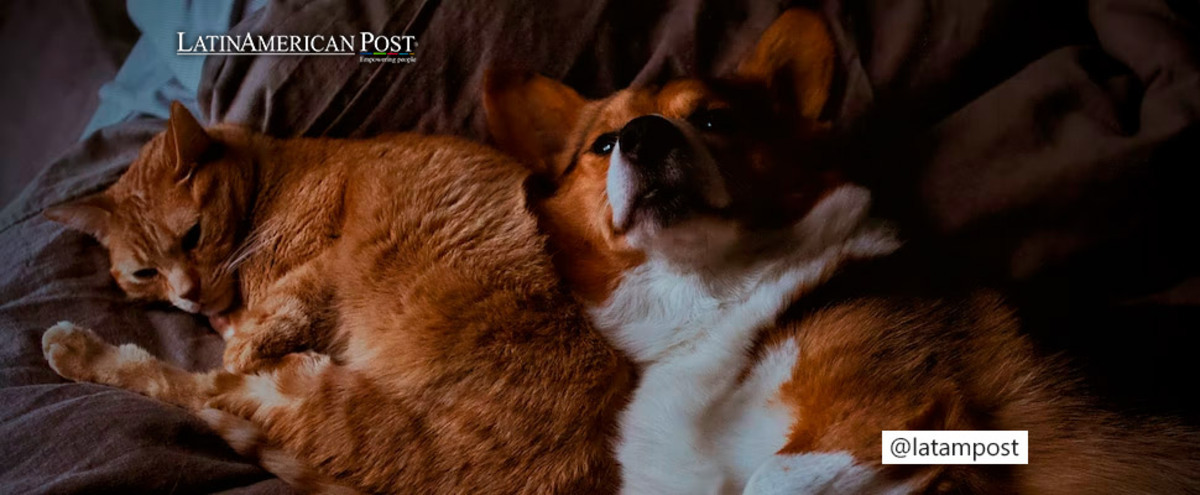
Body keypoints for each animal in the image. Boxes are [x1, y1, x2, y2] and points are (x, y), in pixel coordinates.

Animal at [42, 102, 633, 492]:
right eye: (145, 272)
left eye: (192, 236)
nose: (186, 295)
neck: (270, 178)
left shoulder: (327, 258)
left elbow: (264, 326)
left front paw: (238, 330)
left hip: (317, 398)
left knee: (188, 385)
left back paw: (76, 348)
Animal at [484, 7, 1200, 495]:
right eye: (603, 145)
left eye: (715, 119)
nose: (643, 137)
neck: (710, 305)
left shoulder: (887, 418)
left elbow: (769, 477)